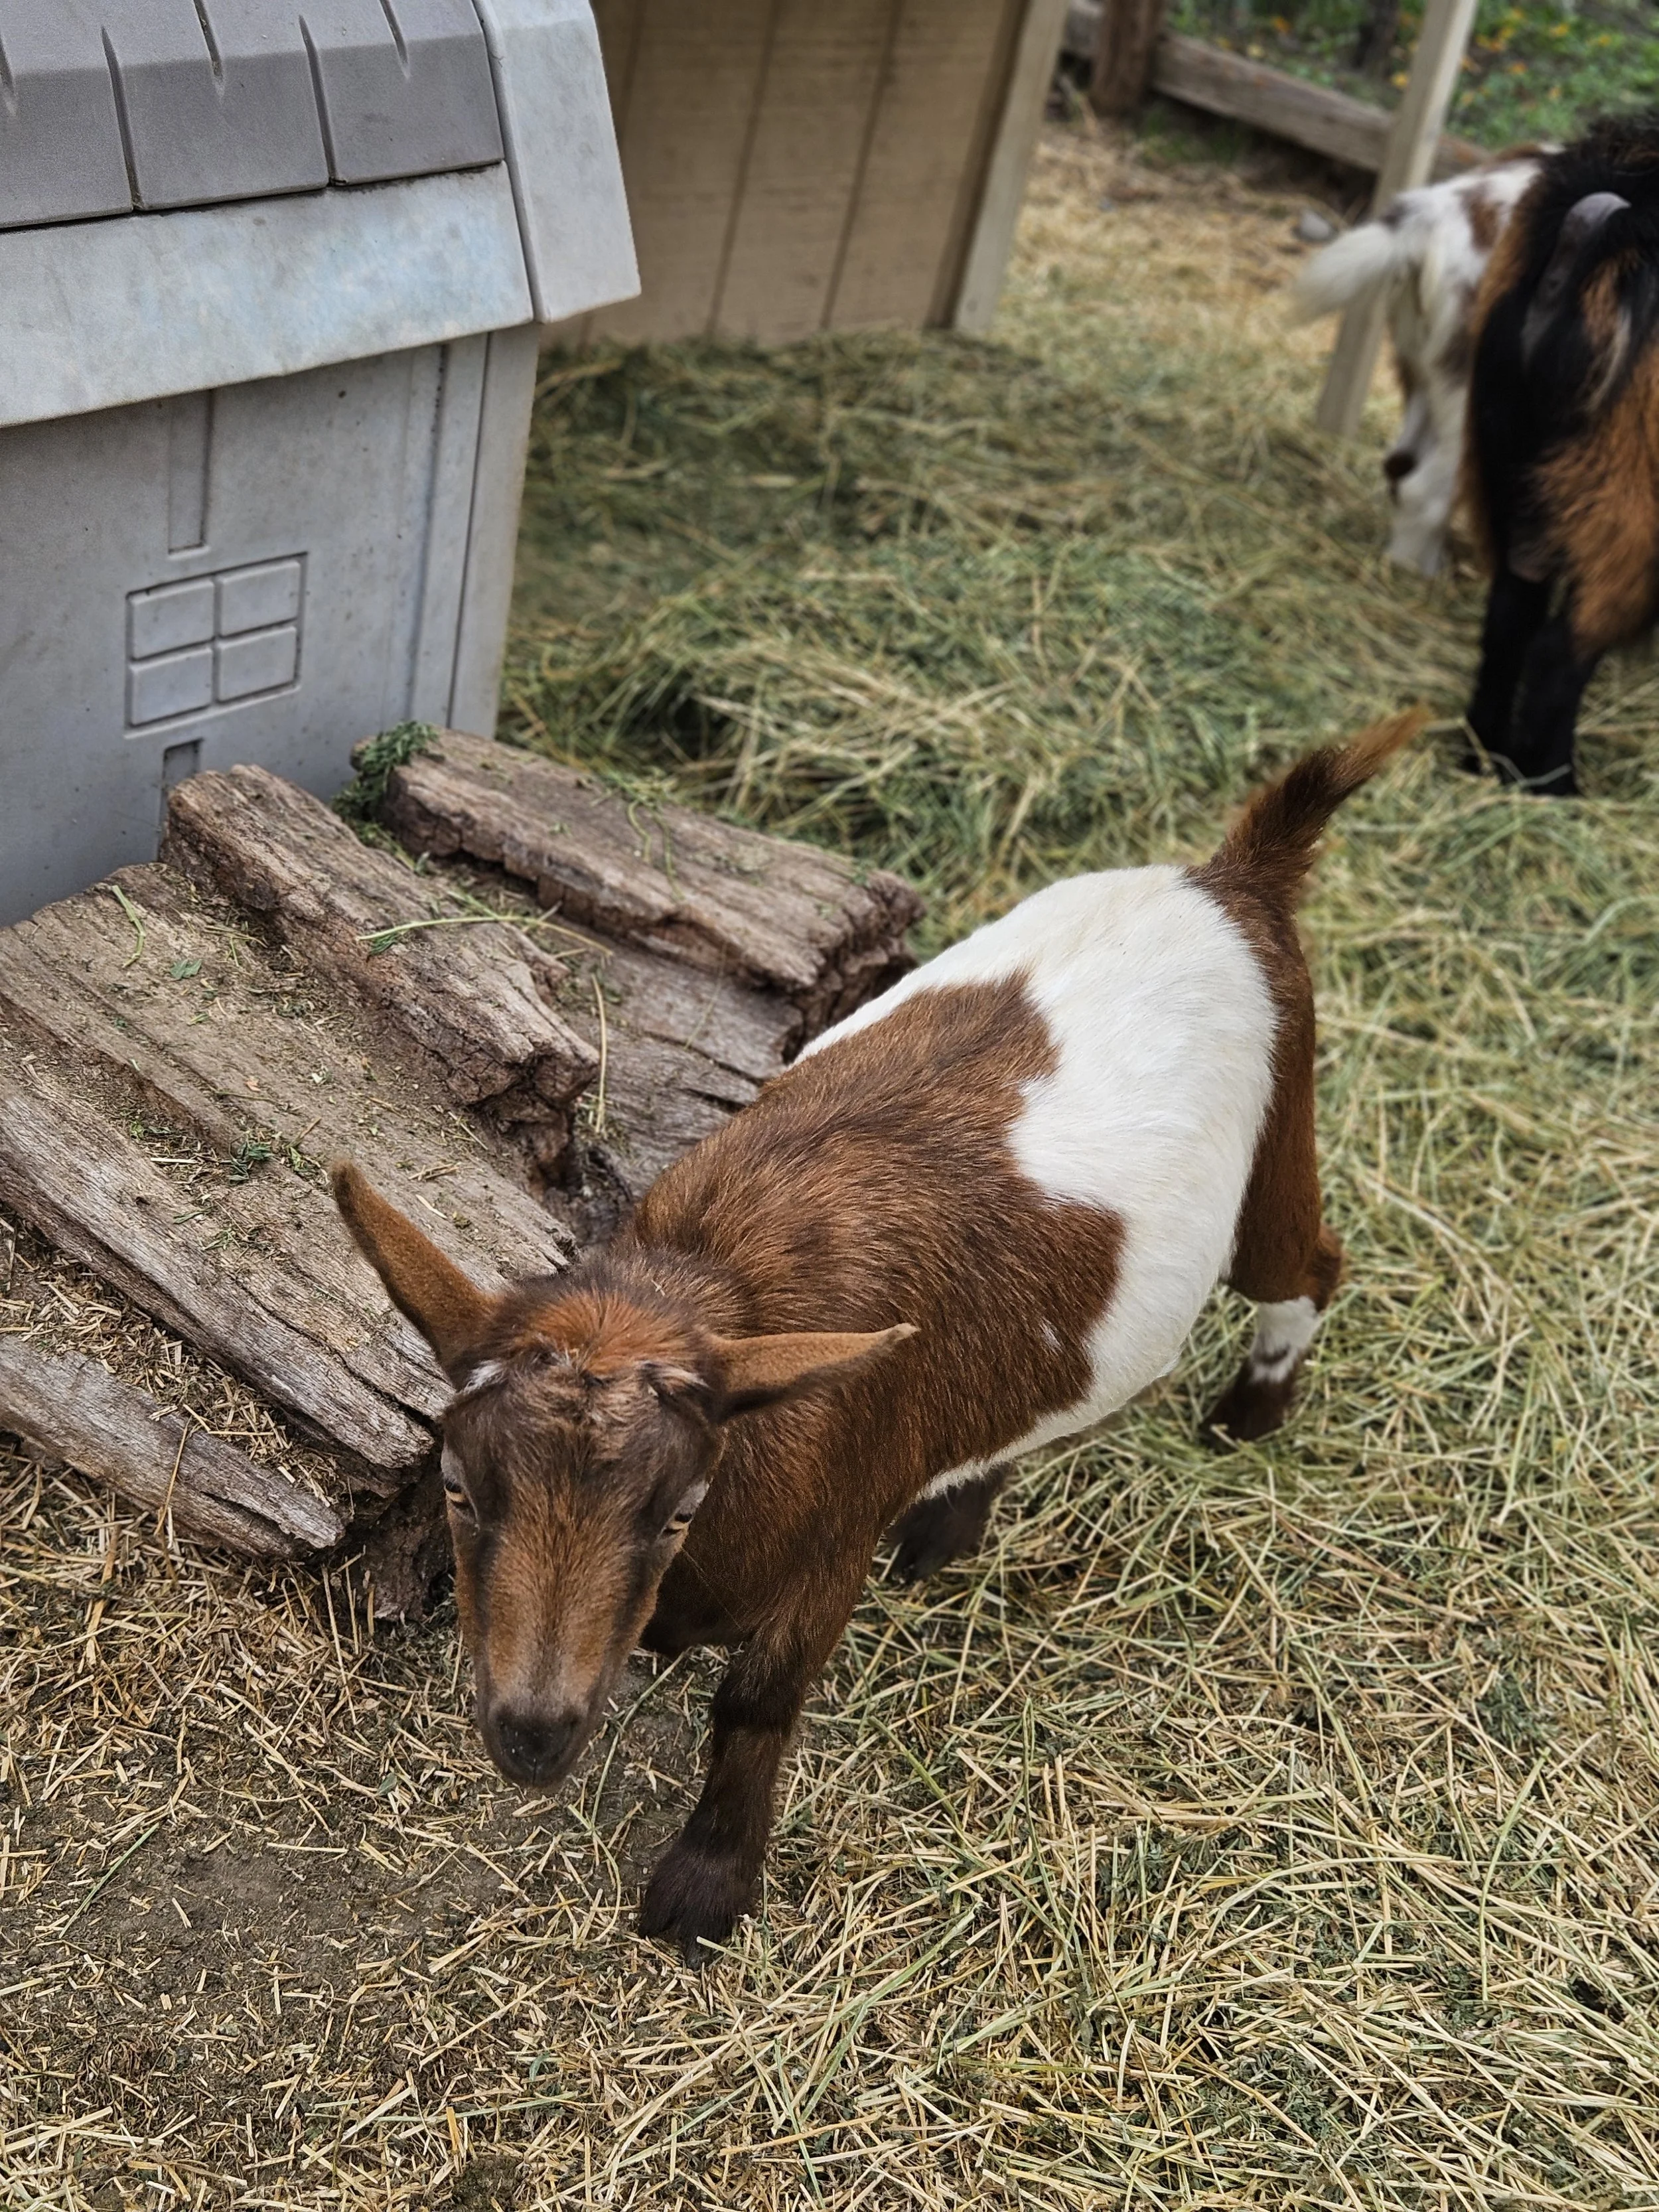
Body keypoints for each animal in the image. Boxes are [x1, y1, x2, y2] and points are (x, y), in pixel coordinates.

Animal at [333, 711, 1419, 1959]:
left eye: (679, 1509)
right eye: (458, 1486)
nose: (533, 1734)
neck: (712, 1285)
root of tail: (1232, 878)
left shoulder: (830, 1538)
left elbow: (756, 1704)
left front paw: (704, 1891)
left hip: (1282, 1130)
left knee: (1309, 1267)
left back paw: (1251, 1412)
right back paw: (953, 1520)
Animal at [1292, 155, 1543, 575]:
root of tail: (1435, 212)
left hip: (1426, 370)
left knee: (1402, 464)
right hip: (1477, 402)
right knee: (1425, 489)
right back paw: (1418, 571)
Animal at [1463, 116, 1659, 795]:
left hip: (1509, 466)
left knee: (1510, 612)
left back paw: (1483, 755)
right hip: (1624, 514)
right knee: (1560, 648)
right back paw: (1553, 785)